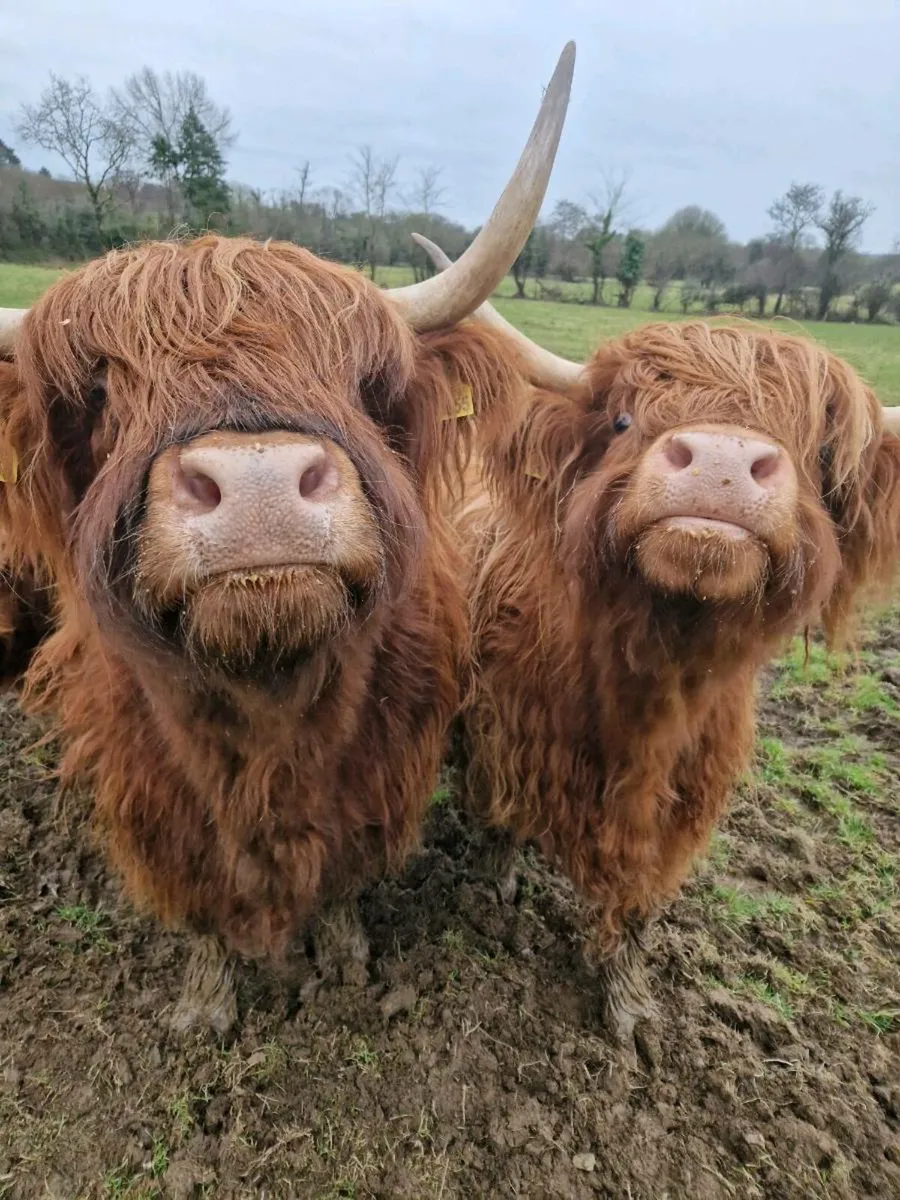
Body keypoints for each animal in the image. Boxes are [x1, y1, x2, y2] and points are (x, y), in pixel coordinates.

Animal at [0, 42, 574, 1035]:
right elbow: (198, 900)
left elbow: (343, 876)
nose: (260, 485)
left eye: (361, 379)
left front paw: (343, 962)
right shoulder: (152, 792)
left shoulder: (382, 765)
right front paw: (204, 1002)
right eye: (101, 393)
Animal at [414, 232, 900, 1049]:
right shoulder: (501, 734)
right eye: (621, 421)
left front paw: (630, 1008)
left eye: (815, 449)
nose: (720, 462)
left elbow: (640, 903)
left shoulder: (681, 806)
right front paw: (499, 885)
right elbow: (502, 817)